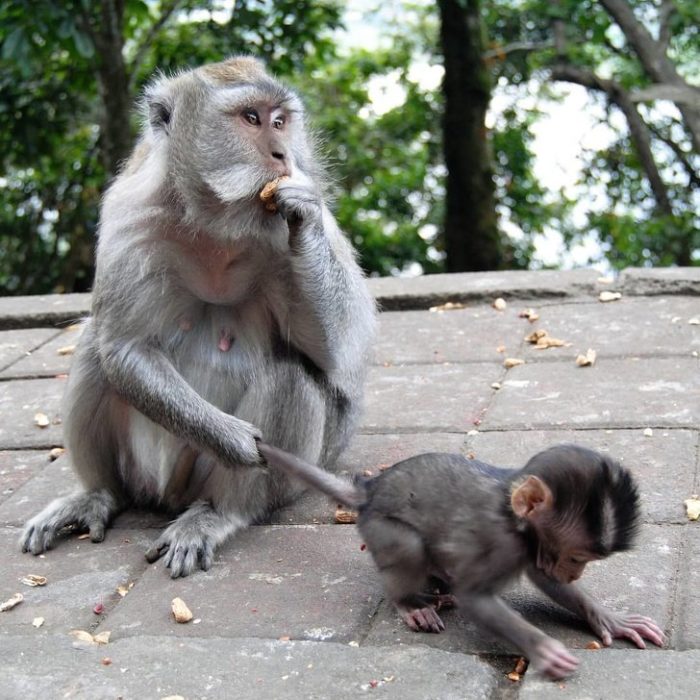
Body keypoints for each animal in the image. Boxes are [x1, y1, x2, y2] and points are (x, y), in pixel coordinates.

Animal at [260, 442, 664, 680]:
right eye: (577, 556)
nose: (575, 572)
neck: (512, 515)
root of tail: (370, 490)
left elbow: (546, 579)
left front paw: (611, 619)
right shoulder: (503, 543)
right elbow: (476, 597)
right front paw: (543, 649)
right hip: (379, 526)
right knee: (409, 546)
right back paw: (409, 602)